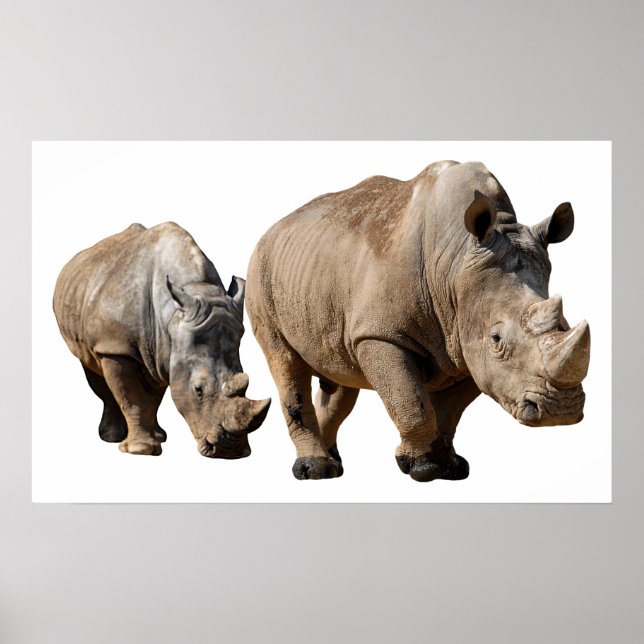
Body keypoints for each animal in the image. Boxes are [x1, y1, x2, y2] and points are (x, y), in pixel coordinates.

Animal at [54, 222, 271, 458]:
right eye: (198, 390)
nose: (229, 451)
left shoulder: (160, 351)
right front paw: (141, 450)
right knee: (94, 370)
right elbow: (132, 398)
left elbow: (152, 398)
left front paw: (157, 438)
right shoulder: (117, 347)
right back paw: (112, 438)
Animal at [246, 160, 590, 481]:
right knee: (285, 363)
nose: (561, 411)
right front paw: (421, 467)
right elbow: (412, 402)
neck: (456, 263)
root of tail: (273, 229)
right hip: (260, 273)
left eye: (565, 323)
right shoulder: (381, 334)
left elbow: (449, 412)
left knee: (341, 373)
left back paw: (334, 464)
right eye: (497, 340)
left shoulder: (464, 339)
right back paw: (315, 469)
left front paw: (450, 467)